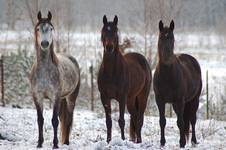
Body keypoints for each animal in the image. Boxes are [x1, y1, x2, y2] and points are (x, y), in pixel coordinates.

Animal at [29, 10, 80, 149]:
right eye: (38, 28)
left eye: (51, 28)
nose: (45, 44)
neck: (44, 71)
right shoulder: (37, 97)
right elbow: (40, 120)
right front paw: (39, 143)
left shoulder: (55, 97)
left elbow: (54, 121)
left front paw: (55, 144)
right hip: (63, 98)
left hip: (70, 98)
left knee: (69, 119)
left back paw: (66, 142)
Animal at [97, 15, 152, 144]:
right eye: (104, 31)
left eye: (115, 31)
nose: (109, 47)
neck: (111, 72)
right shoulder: (105, 97)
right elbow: (108, 122)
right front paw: (108, 141)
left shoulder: (122, 98)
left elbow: (121, 121)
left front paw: (122, 140)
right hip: (131, 99)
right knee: (135, 116)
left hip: (142, 96)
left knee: (139, 119)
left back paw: (139, 141)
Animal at [153, 20, 202, 148]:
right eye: (161, 37)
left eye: (172, 38)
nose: (167, 57)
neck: (167, 76)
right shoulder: (160, 100)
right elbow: (162, 121)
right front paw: (162, 142)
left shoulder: (180, 101)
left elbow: (181, 122)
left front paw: (182, 143)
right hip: (177, 104)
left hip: (193, 100)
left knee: (192, 119)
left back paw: (194, 141)